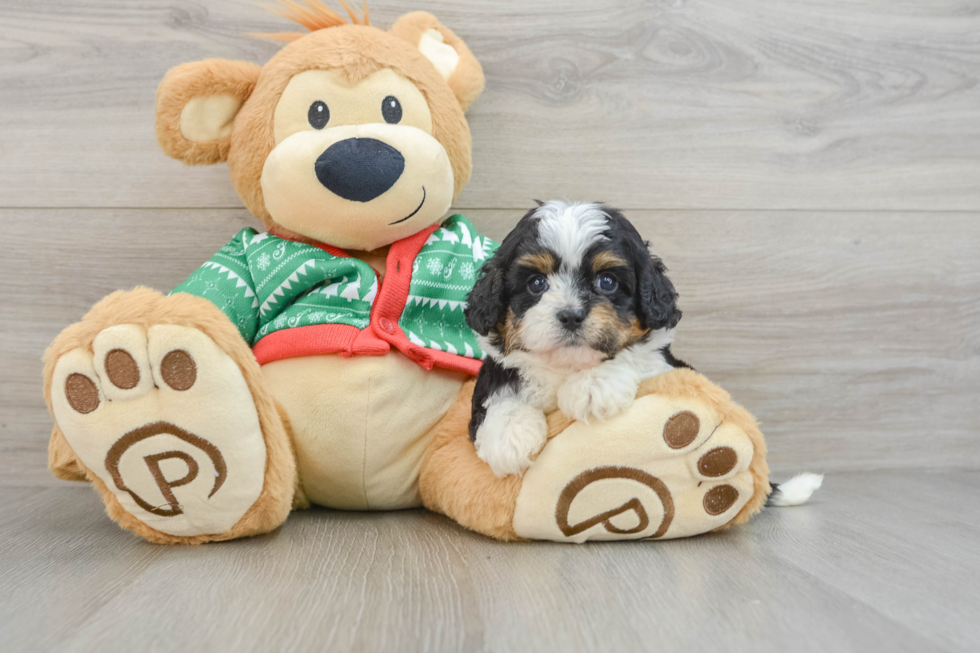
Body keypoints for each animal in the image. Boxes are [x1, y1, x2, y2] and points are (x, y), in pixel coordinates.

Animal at [464, 197, 684, 474]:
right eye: (536, 283)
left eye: (607, 281)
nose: (570, 315)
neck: (565, 366)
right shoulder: (498, 369)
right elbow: (497, 392)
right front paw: (509, 435)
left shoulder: (666, 366)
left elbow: (636, 354)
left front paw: (593, 384)